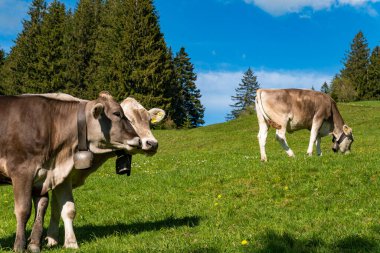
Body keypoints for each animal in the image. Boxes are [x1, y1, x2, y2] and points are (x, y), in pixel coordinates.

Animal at [0, 92, 141, 252]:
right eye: (117, 113)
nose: (138, 140)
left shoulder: (42, 177)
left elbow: (42, 206)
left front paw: (34, 244)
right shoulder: (21, 171)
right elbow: (23, 210)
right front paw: (19, 245)